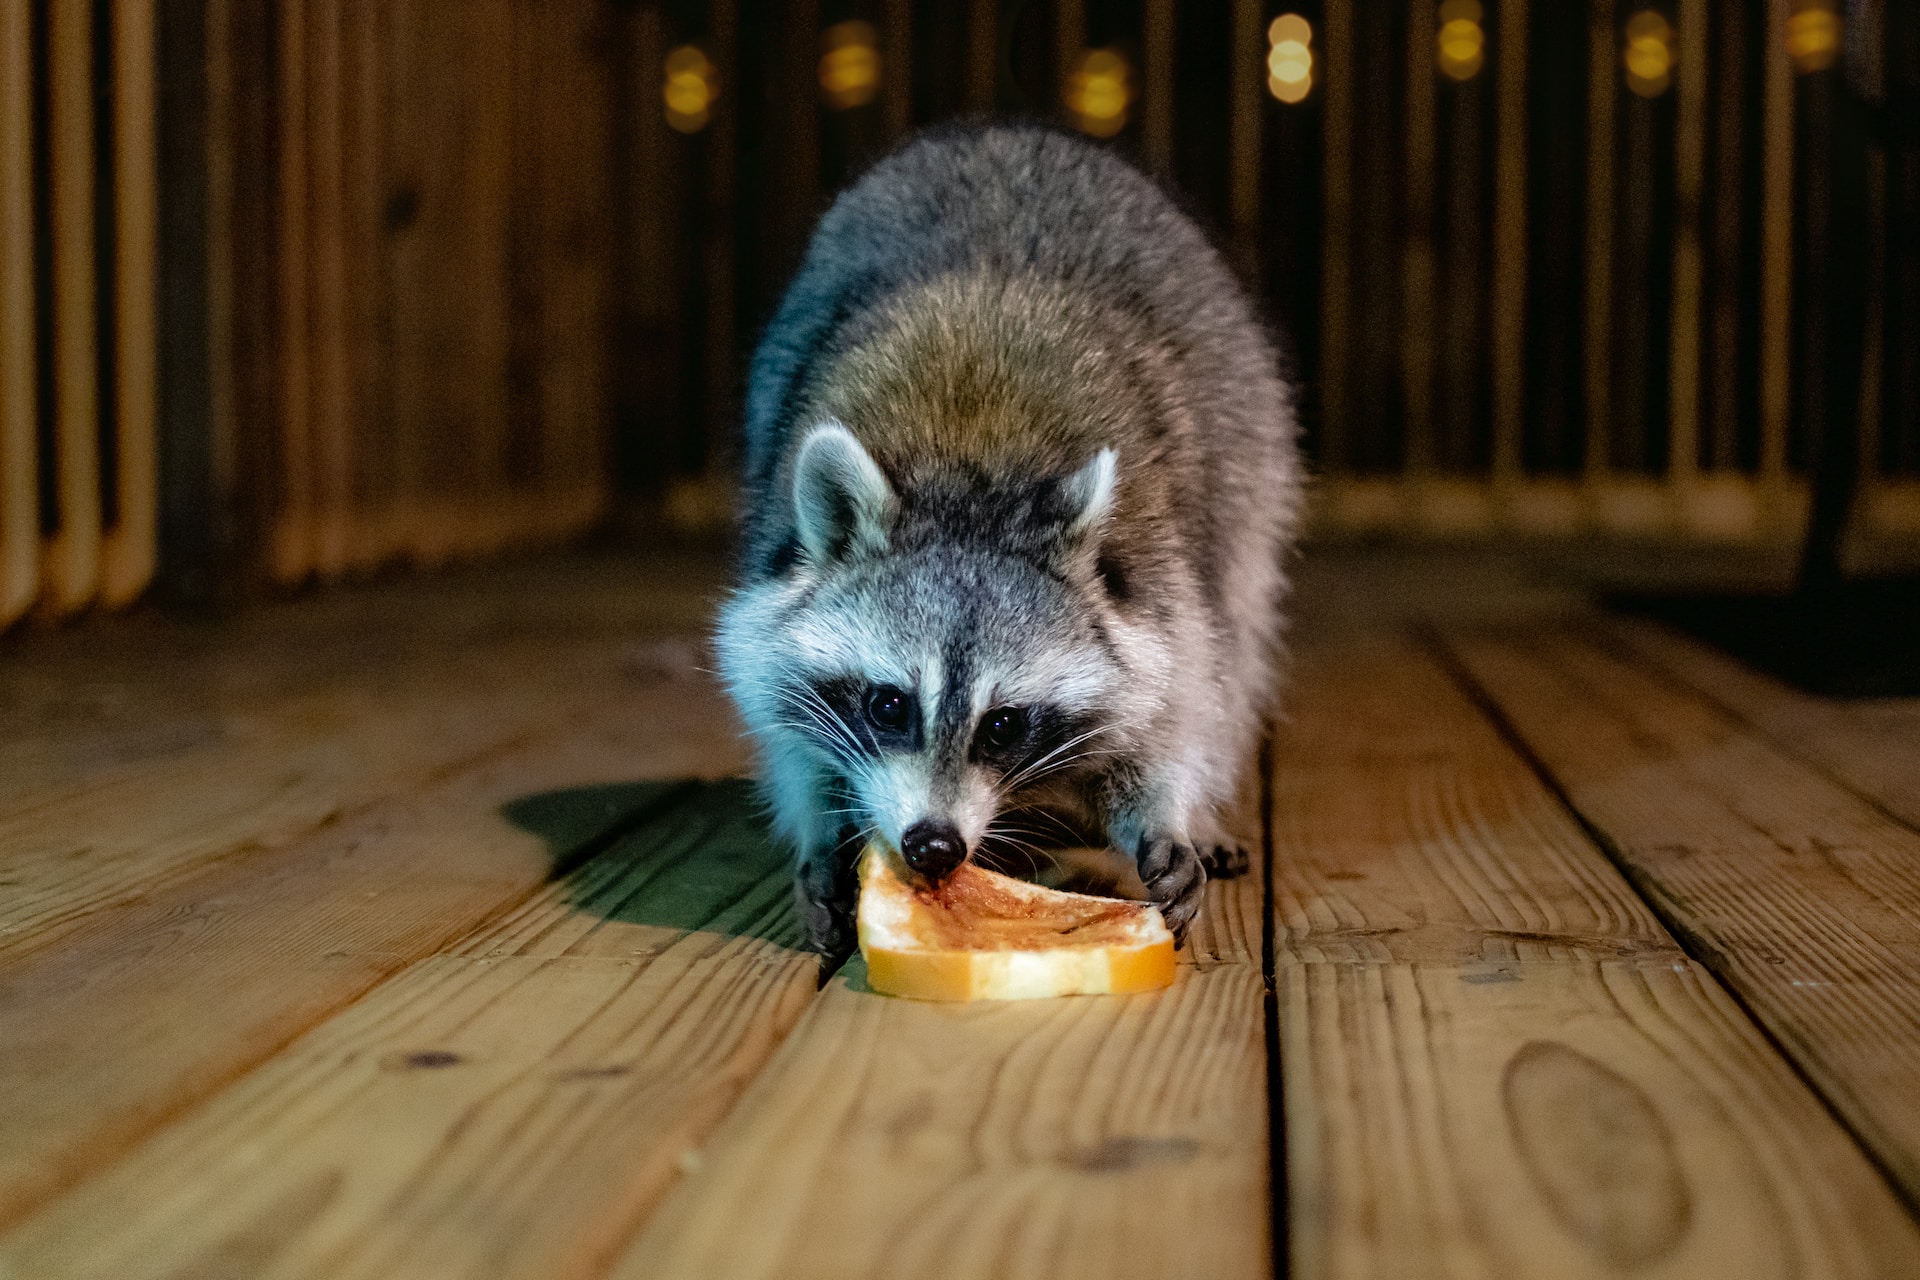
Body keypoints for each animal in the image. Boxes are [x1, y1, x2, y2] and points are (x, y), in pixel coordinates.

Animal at [714, 122, 1297, 959]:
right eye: (889, 705)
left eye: (1004, 725)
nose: (932, 846)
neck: (970, 483)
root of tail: (1000, 132)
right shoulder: (774, 580)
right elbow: (778, 703)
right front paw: (822, 829)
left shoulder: (1157, 579)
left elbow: (1175, 696)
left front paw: (1166, 811)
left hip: (1252, 448)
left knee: (1239, 635)